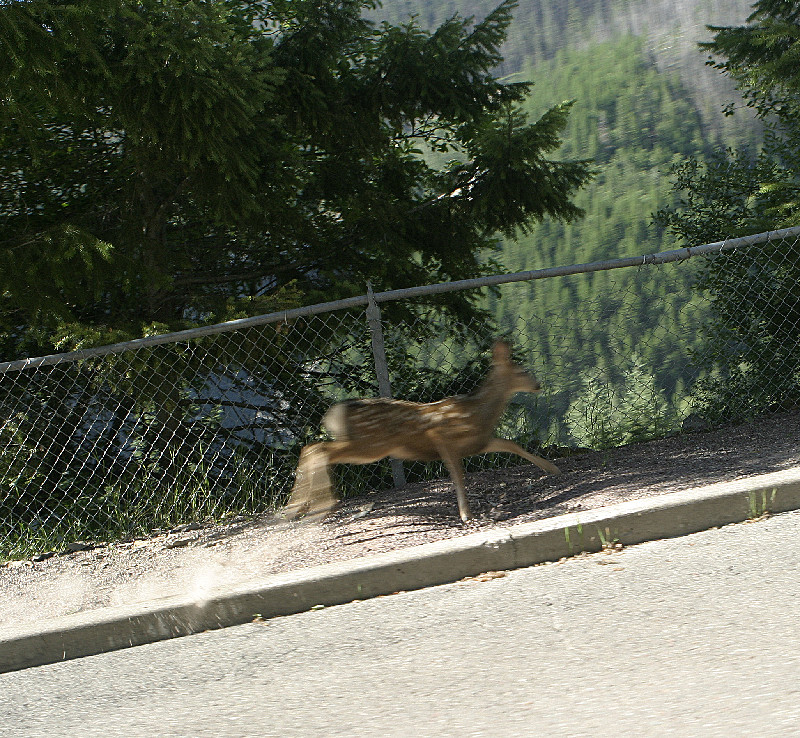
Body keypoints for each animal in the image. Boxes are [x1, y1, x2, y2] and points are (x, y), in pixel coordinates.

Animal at [282, 340, 564, 524]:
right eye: (522, 371)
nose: (538, 385)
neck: (477, 412)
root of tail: (336, 412)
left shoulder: (479, 442)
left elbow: (511, 444)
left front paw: (551, 468)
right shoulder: (443, 438)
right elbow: (458, 476)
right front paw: (466, 514)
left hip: (366, 445)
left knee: (311, 448)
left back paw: (294, 509)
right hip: (370, 445)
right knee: (318, 449)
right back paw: (317, 505)